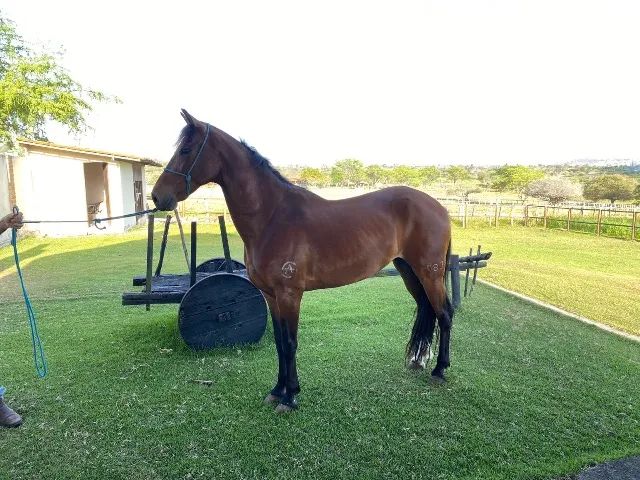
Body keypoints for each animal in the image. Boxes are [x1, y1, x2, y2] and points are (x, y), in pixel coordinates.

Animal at [152, 110, 454, 413]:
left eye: (185, 149)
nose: (157, 196)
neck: (272, 217)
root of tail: (439, 207)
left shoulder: (290, 294)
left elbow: (290, 342)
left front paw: (290, 397)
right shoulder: (271, 295)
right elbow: (279, 343)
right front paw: (277, 391)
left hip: (429, 273)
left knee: (444, 314)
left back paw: (439, 370)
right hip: (408, 271)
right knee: (427, 308)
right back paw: (419, 361)